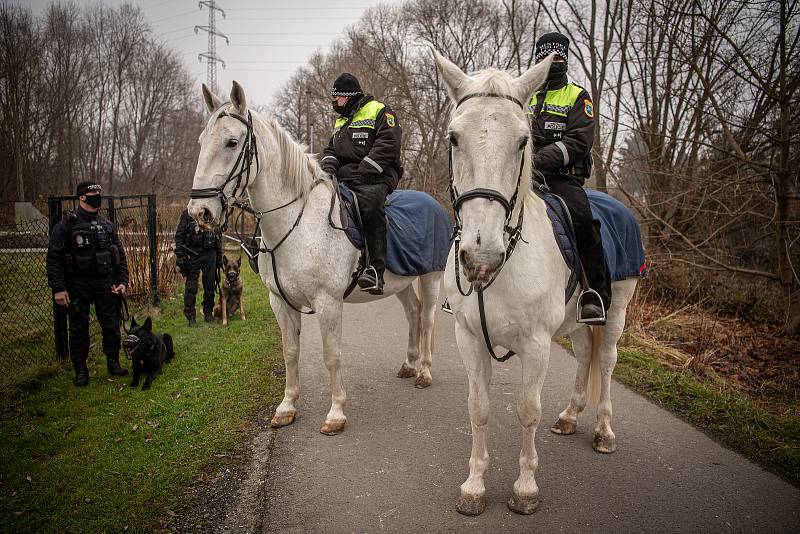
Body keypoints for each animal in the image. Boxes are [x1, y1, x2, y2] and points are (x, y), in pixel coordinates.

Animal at [188, 82, 444, 436]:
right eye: (202, 142)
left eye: (232, 142)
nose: (200, 211)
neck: (297, 221)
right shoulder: (279, 301)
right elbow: (290, 352)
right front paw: (286, 407)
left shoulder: (327, 302)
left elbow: (331, 355)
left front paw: (336, 413)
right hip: (401, 284)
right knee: (414, 314)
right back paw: (409, 364)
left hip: (432, 277)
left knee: (429, 318)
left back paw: (424, 373)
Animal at [434, 51, 640, 520]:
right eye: (454, 138)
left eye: (522, 141)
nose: (480, 257)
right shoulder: (469, 337)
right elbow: (478, 408)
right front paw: (474, 486)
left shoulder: (537, 344)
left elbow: (527, 411)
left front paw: (525, 489)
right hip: (579, 323)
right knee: (584, 356)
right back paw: (569, 416)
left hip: (617, 311)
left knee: (607, 362)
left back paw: (603, 432)